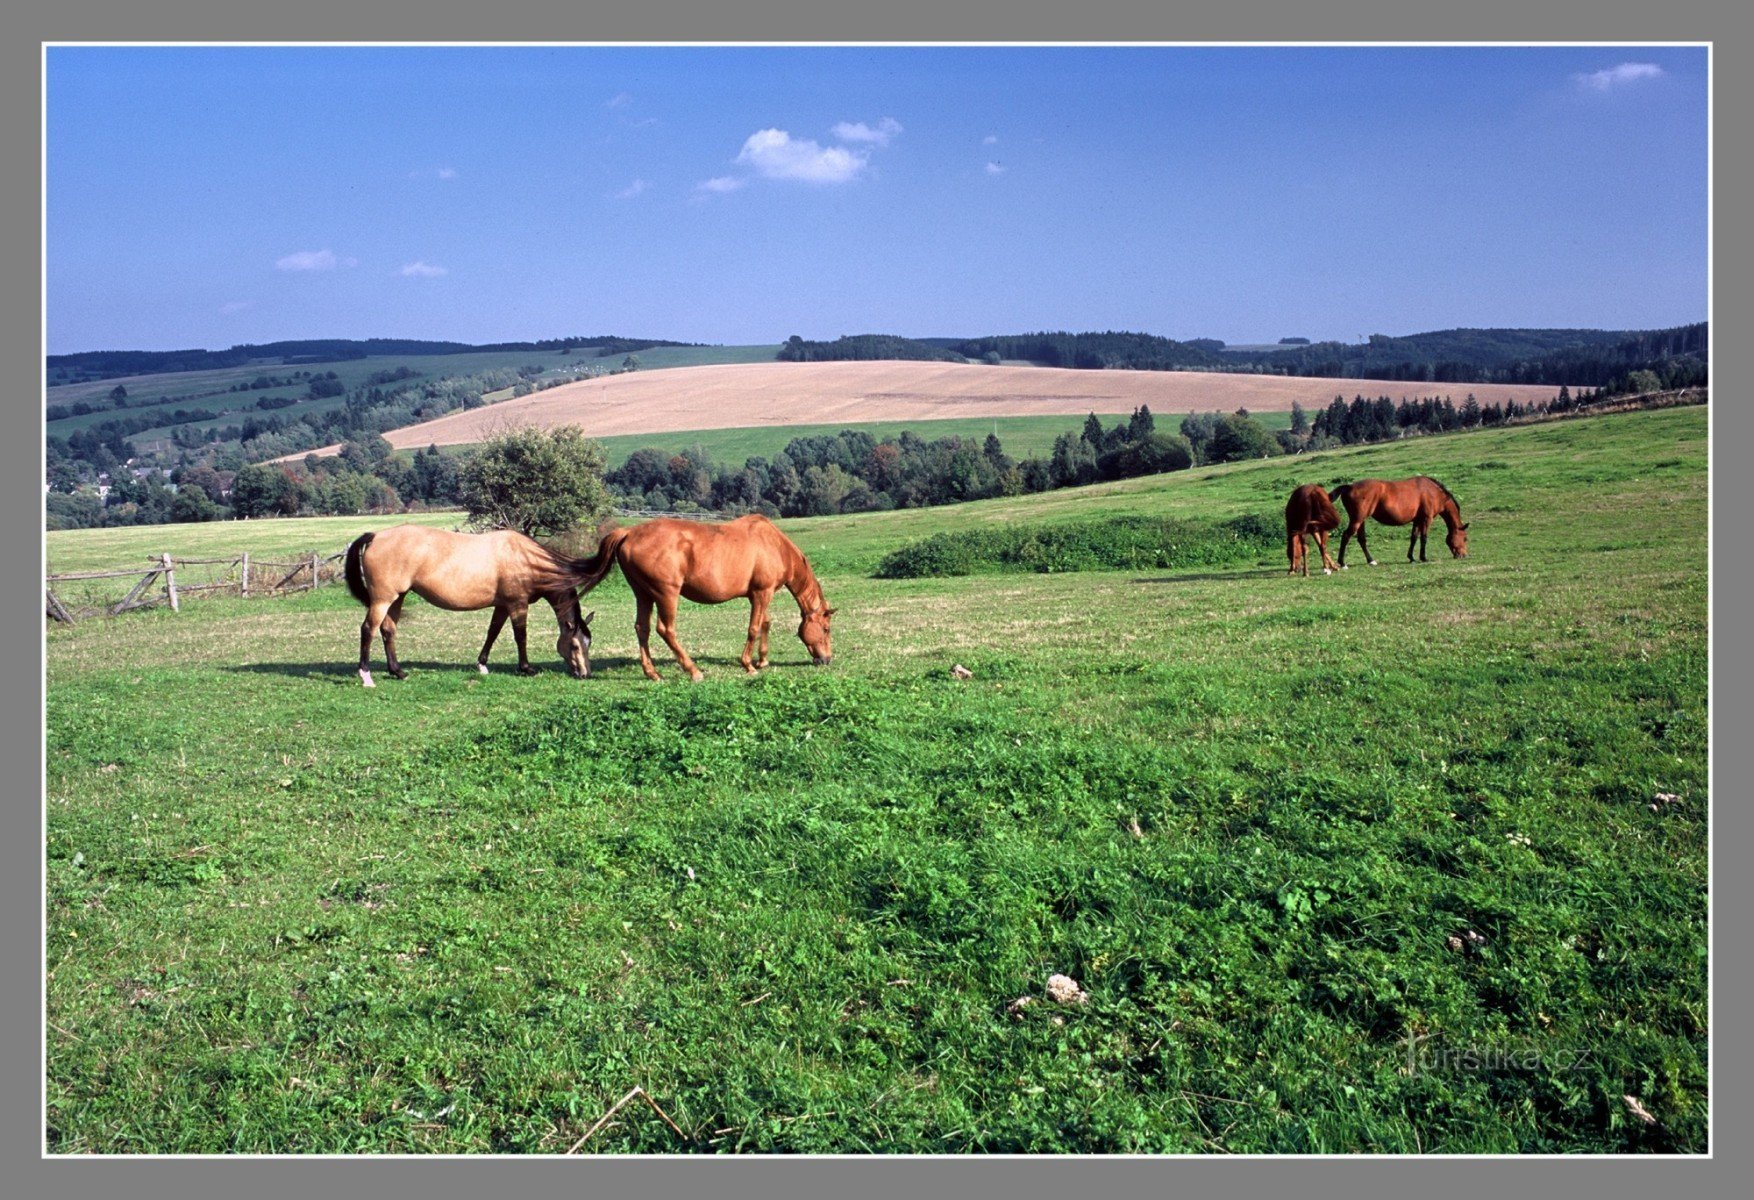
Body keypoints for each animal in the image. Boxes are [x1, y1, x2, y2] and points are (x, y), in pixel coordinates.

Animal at [342, 522, 596, 684]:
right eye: (575, 645)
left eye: (588, 643)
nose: (585, 674)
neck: (526, 558)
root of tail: (376, 536)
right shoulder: (517, 604)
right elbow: (520, 636)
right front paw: (526, 668)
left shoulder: (502, 605)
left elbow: (492, 632)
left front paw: (482, 664)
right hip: (382, 600)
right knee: (368, 629)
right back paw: (366, 675)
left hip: (397, 598)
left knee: (388, 630)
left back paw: (398, 672)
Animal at [575, 512, 834, 684]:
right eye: (826, 628)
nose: (827, 659)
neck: (774, 545)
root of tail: (629, 532)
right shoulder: (762, 593)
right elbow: (753, 628)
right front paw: (748, 665)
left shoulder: (760, 595)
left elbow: (765, 624)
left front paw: (762, 660)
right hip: (666, 594)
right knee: (665, 630)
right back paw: (693, 670)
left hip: (643, 594)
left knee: (642, 629)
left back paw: (652, 673)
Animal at [1326, 477, 1466, 568]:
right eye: (1465, 538)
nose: (1464, 555)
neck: (1433, 492)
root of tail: (1349, 486)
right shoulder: (1426, 519)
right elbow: (1424, 538)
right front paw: (1423, 558)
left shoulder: (1417, 520)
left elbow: (1414, 538)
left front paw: (1411, 558)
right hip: (1357, 520)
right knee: (1346, 536)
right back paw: (1342, 563)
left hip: (1361, 521)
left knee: (1361, 540)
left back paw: (1371, 561)